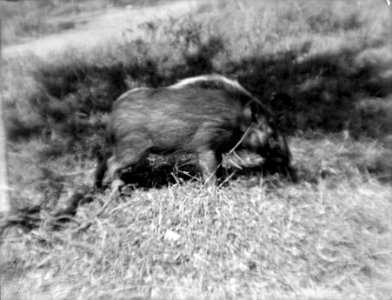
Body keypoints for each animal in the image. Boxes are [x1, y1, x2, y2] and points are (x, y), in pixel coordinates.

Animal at [95, 74, 290, 190]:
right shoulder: (205, 146)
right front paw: (213, 191)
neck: (236, 119)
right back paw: (117, 189)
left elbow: (219, 167)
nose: (289, 160)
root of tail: (112, 115)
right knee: (112, 163)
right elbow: (209, 172)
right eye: (270, 129)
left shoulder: (216, 149)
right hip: (133, 150)